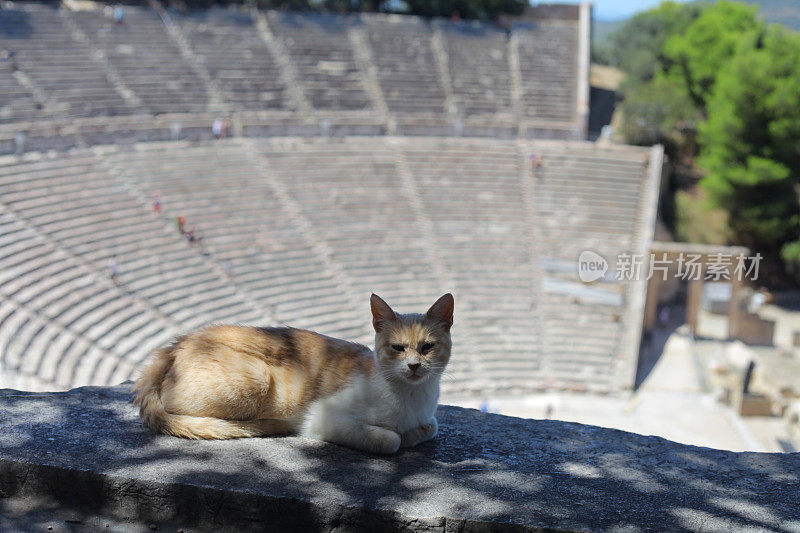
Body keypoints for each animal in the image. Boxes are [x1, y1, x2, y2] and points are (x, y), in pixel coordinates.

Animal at [134, 290, 454, 454]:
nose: (414, 366)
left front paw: (414, 433)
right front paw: (402, 436)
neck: (412, 397)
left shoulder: (429, 418)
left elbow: (431, 426)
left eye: (427, 347)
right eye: (398, 348)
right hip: (257, 379)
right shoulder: (325, 418)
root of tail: (176, 344)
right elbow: (392, 440)